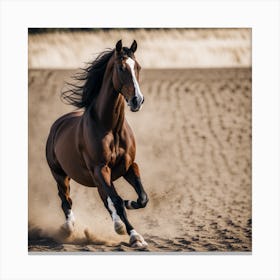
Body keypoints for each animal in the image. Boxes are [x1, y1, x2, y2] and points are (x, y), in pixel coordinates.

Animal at [46, 39, 150, 247]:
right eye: (121, 68)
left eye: (138, 67)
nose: (137, 100)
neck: (111, 127)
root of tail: (57, 125)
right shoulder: (101, 169)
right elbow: (116, 201)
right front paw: (135, 237)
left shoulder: (128, 166)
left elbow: (142, 198)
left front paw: (130, 206)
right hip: (60, 174)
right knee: (66, 199)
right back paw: (68, 228)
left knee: (104, 199)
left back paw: (117, 224)